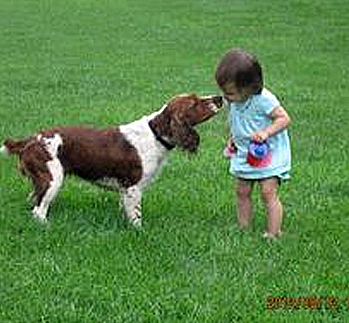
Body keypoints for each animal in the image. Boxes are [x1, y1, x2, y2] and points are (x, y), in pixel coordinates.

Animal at [1, 94, 222, 228]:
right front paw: (139, 231)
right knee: (38, 210)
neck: (155, 134)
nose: (219, 98)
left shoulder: (125, 190)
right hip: (52, 179)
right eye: (195, 102)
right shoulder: (133, 186)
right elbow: (136, 216)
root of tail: (31, 139)